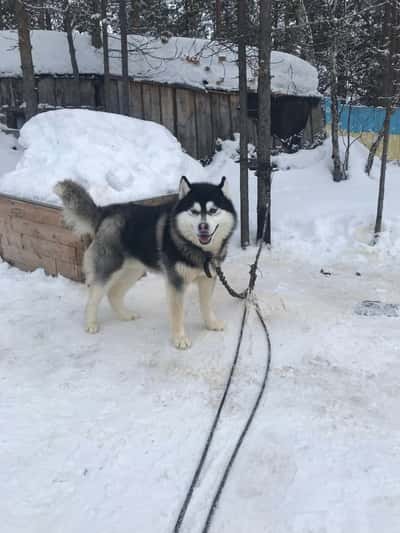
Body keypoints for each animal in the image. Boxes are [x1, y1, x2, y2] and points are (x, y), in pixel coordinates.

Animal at [55, 177, 238, 348]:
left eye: (213, 210)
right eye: (194, 211)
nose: (203, 227)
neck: (200, 250)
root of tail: (105, 211)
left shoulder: (208, 278)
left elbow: (207, 305)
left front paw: (211, 324)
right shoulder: (176, 283)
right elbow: (178, 313)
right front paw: (179, 339)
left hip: (132, 271)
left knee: (113, 293)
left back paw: (125, 315)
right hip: (108, 270)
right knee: (93, 299)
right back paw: (91, 324)